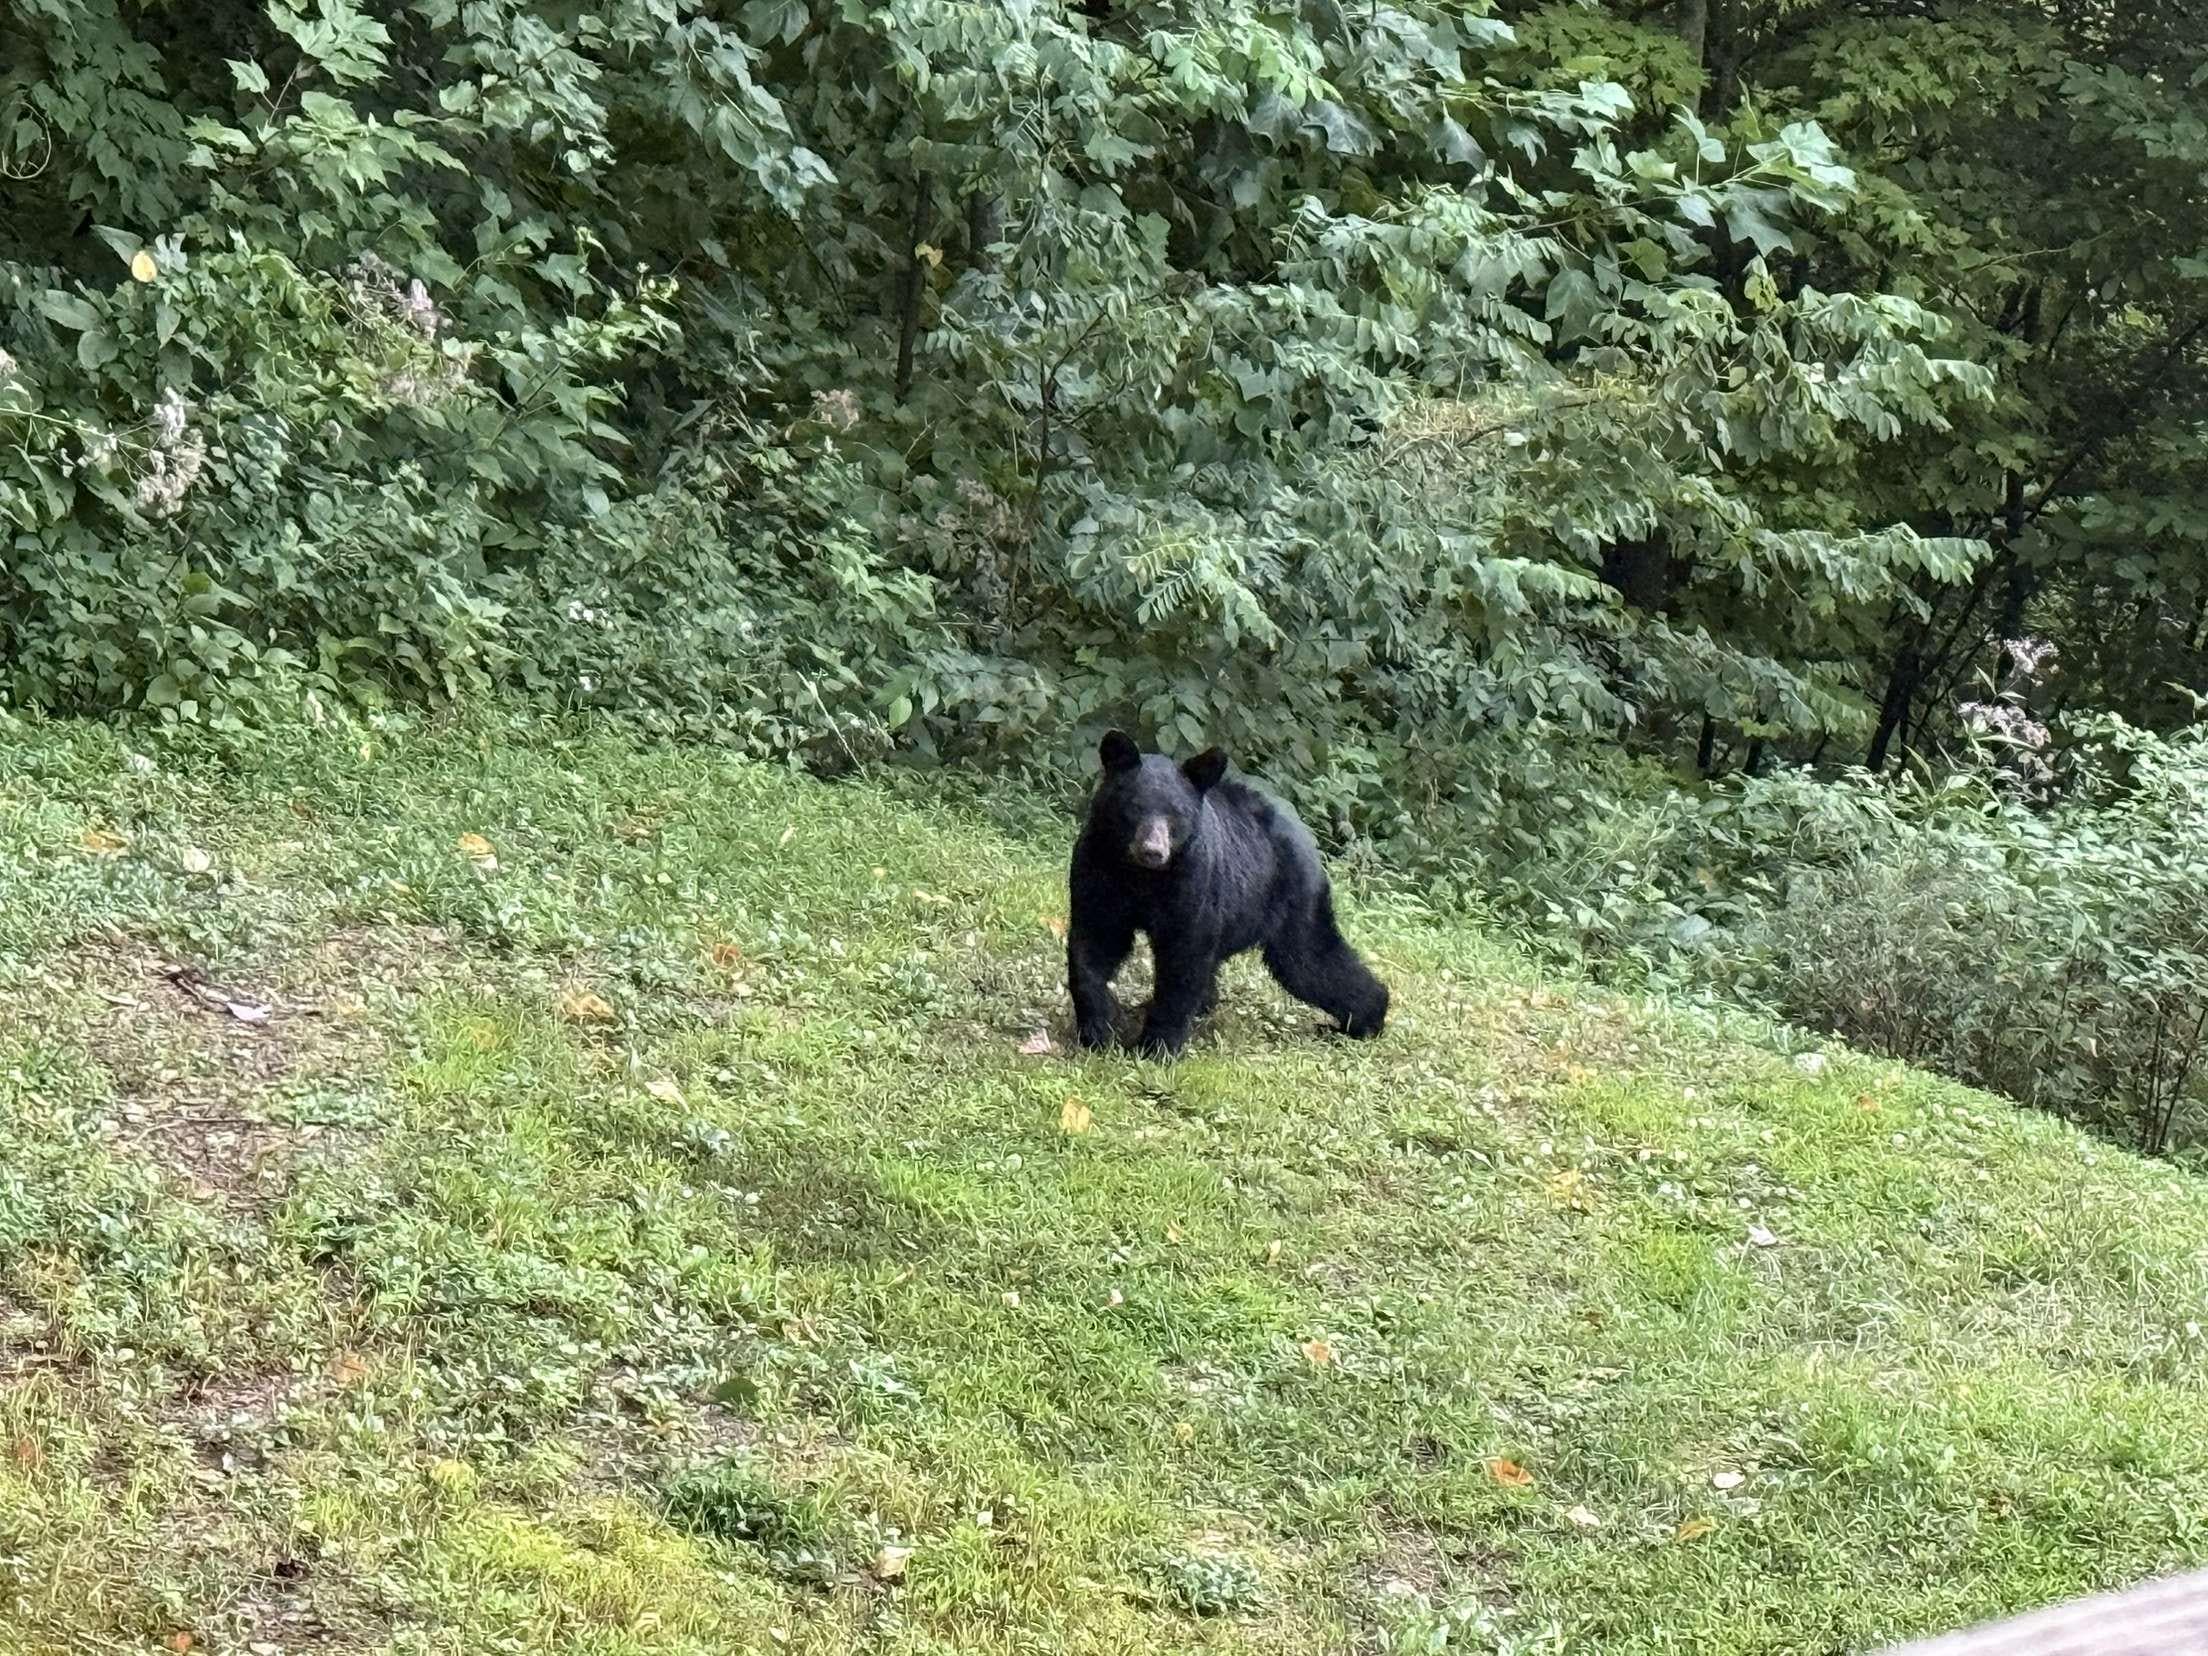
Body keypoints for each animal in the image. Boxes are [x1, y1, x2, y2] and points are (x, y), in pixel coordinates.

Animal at [1066, 730, 1390, 1057]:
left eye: (1176, 813)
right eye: (1135, 806)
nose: (1153, 851)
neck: (1141, 877)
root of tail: (1304, 833)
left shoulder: (1192, 881)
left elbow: (1183, 958)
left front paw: (1157, 1046)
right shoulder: (1099, 869)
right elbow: (1095, 941)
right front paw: (1099, 1030)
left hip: (1294, 897)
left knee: (1309, 961)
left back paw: (1364, 1020)